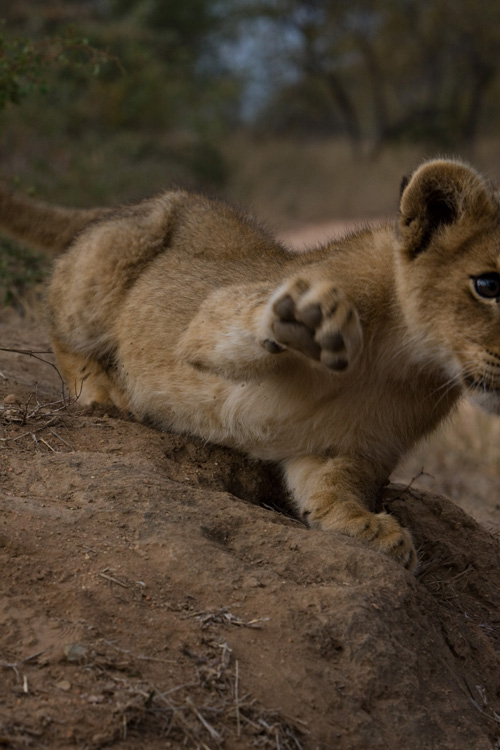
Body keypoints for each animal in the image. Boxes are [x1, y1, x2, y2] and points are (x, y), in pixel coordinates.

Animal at [1, 158, 499, 571]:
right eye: (488, 285)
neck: (405, 359)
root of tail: (128, 206)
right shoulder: (224, 311)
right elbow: (225, 324)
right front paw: (307, 316)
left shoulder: (346, 446)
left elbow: (332, 487)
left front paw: (370, 528)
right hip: (108, 264)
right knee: (57, 319)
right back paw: (102, 391)